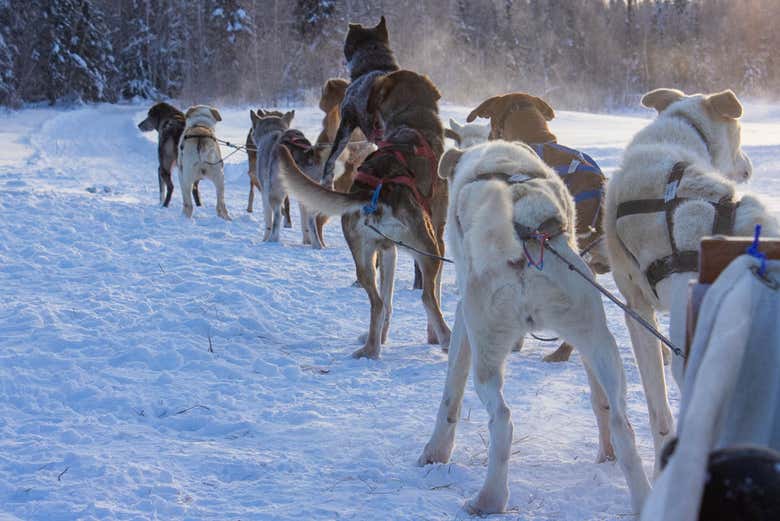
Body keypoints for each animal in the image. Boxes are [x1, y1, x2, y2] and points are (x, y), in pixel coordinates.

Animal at [278, 71, 450, 360]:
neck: (411, 120)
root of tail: (375, 193)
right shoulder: (438, 235)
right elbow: (432, 292)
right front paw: (432, 337)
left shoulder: (388, 250)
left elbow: (388, 299)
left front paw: (383, 336)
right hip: (430, 248)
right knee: (428, 297)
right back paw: (447, 339)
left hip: (364, 260)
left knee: (378, 303)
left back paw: (371, 349)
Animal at [418, 140, 648, 512]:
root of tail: (527, 233)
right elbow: (599, 400)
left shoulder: (464, 319)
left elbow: (450, 394)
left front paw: (436, 452)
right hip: (600, 342)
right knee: (620, 423)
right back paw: (643, 498)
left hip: (486, 352)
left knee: (502, 420)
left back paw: (489, 499)